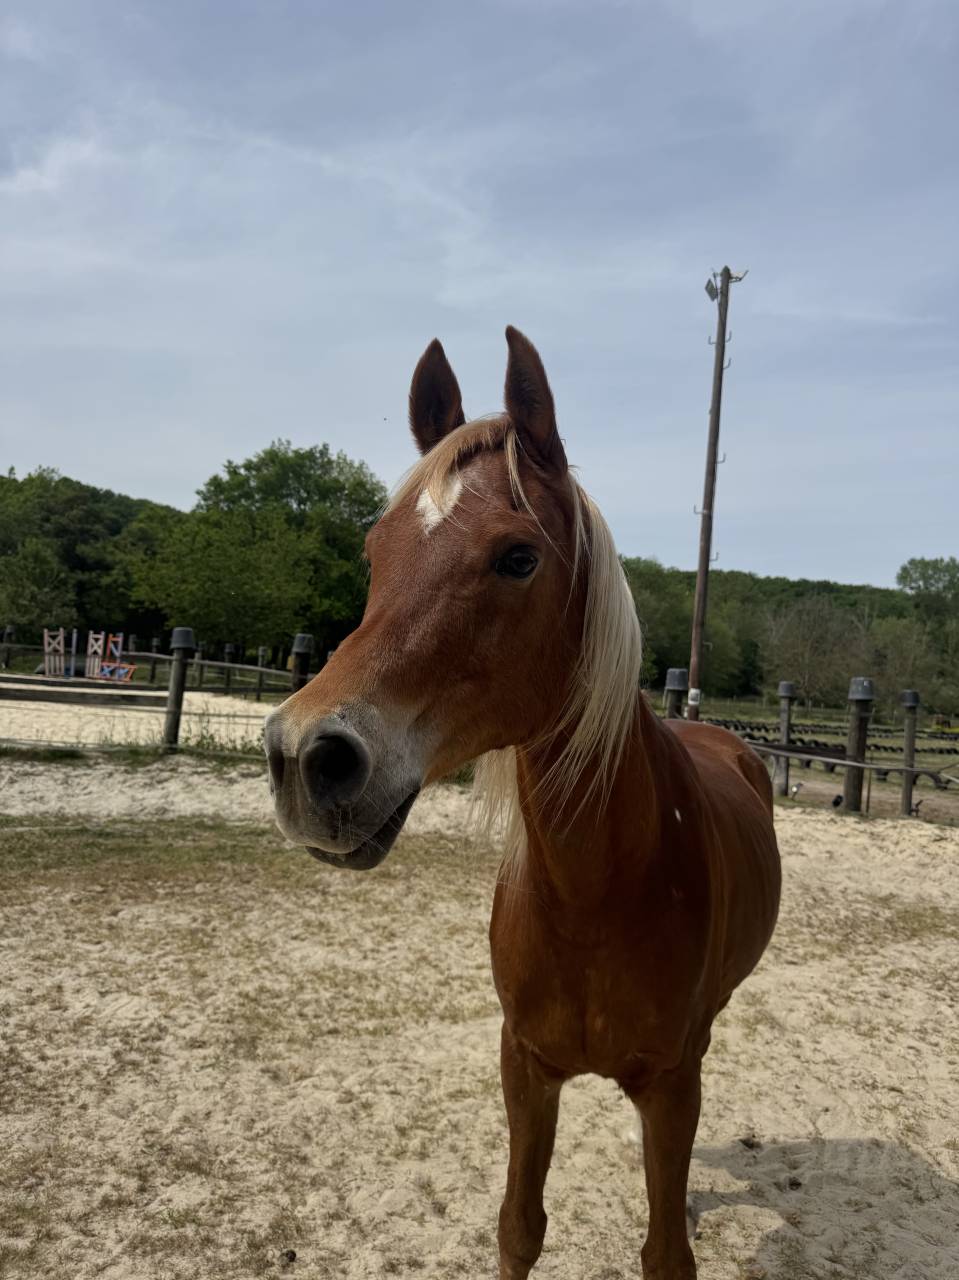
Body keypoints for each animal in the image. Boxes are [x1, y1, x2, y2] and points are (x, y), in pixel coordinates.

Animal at [265, 327, 782, 1278]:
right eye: (374, 552)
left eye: (516, 557)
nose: (302, 757)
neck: (596, 894)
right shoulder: (525, 1068)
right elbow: (519, 1226)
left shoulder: (670, 1083)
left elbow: (664, 1249)